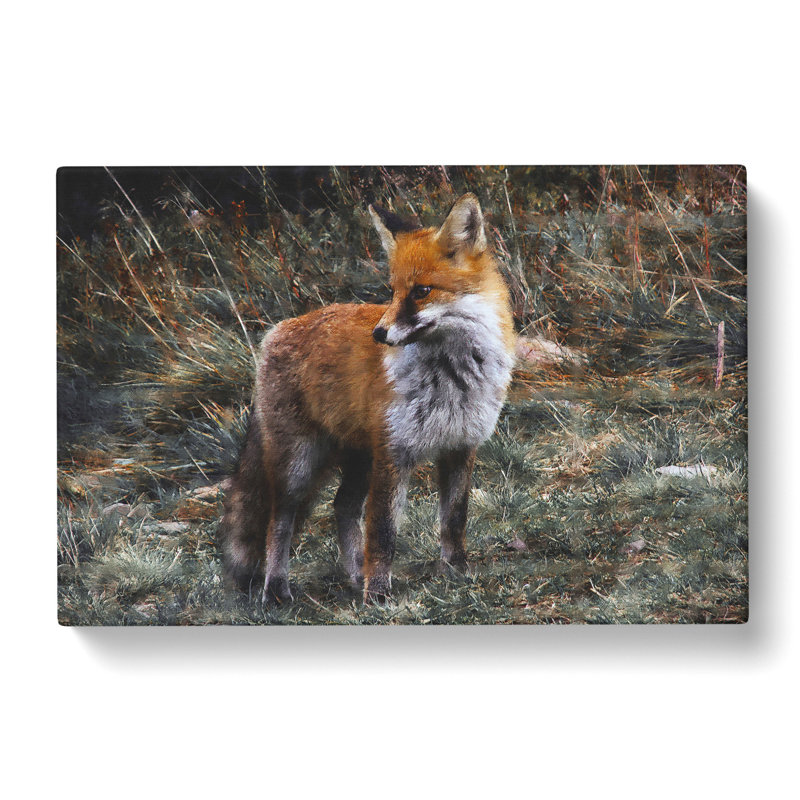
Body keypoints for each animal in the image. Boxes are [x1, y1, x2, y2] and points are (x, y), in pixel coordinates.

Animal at [219, 192, 516, 602]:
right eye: (391, 291)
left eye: (421, 291)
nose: (379, 333)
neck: (451, 377)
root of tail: (278, 329)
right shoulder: (394, 454)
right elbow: (382, 533)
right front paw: (377, 595)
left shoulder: (460, 447)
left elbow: (454, 521)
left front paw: (456, 572)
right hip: (299, 463)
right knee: (279, 521)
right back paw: (277, 589)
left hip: (360, 457)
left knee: (342, 506)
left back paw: (354, 575)